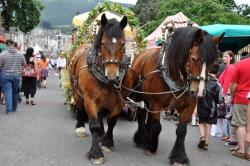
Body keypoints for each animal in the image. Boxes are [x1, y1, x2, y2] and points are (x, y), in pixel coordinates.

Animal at [68, 14, 127, 165]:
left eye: (123, 43)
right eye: (103, 43)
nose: (112, 76)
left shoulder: (119, 101)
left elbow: (112, 121)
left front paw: (107, 142)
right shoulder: (90, 99)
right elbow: (94, 125)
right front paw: (96, 153)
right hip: (76, 91)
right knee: (80, 107)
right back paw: (80, 128)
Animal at [121, 26, 225, 165]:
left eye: (213, 63)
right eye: (194, 59)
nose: (199, 91)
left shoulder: (189, 106)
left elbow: (181, 131)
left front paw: (179, 157)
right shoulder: (156, 104)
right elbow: (157, 126)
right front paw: (151, 146)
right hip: (139, 95)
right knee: (141, 115)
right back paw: (142, 139)